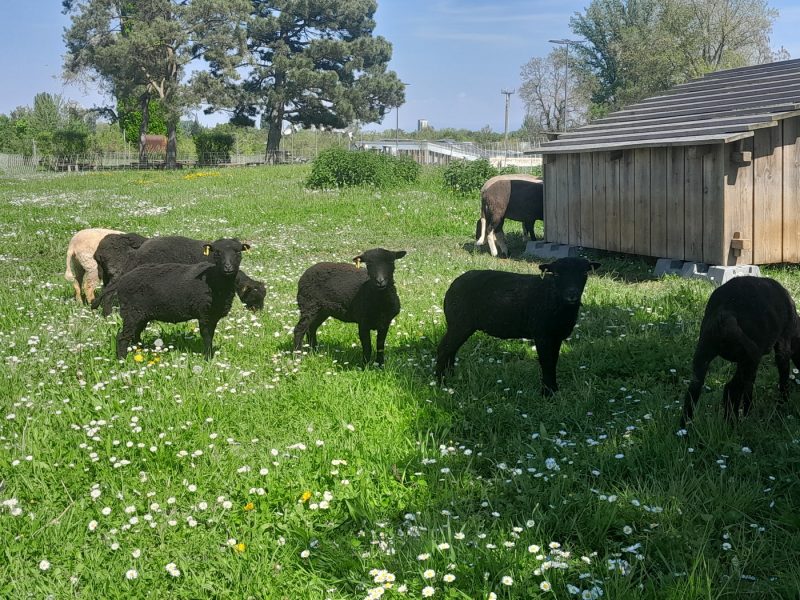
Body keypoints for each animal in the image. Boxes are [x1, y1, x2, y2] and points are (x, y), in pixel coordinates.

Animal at [101, 238, 250, 360]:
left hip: (141, 314)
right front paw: (208, 358)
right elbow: (207, 337)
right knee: (123, 337)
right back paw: (122, 360)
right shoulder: (204, 313)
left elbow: (210, 336)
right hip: (131, 312)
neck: (215, 281)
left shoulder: (213, 315)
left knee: (135, 334)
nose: (228, 268)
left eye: (238, 252)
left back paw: (139, 352)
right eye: (217, 253)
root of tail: (123, 279)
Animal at [435, 257, 599, 396]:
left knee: (451, 350)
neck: (555, 299)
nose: (572, 294)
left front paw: (554, 389)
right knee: (444, 349)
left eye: (584, 273)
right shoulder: (542, 335)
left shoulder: (556, 336)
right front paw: (547, 393)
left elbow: (554, 361)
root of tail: (452, 286)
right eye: (557, 274)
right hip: (459, 324)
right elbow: (546, 362)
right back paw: (441, 382)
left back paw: (450, 377)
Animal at [681, 276, 800, 427]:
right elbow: (783, 379)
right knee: (733, 389)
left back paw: (685, 429)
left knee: (693, 393)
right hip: (750, 357)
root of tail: (725, 314)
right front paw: (782, 405)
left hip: (704, 355)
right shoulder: (782, 347)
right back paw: (734, 423)